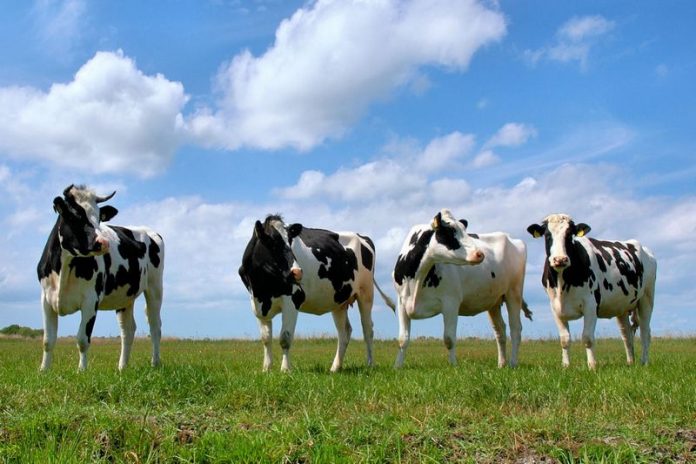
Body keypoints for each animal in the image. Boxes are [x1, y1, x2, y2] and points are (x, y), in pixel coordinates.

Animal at [37, 185, 164, 371]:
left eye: (99, 218)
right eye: (74, 215)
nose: (103, 242)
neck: (64, 269)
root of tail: (147, 230)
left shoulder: (91, 300)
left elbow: (82, 339)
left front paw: (81, 371)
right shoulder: (46, 299)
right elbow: (48, 340)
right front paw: (43, 371)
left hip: (155, 288)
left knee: (155, 326)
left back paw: (155, 364)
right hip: (125, 296)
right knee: (128, 330)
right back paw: (122, 368)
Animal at [238, 214, 395, 372]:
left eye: (290, 241)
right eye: (272, 242)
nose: (297, 272)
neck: (263, 287)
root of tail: (362, 237)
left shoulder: (293, 299)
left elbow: (285, 338)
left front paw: (285, 369)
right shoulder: (257, 302)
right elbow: (265, 338)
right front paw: (266, 369)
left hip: (366, 293)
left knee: (367, 328)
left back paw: (370, 364)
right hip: (339, 300)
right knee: (344, 332)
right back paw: (335, 368)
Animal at [393, 209, 532, 368]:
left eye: (465, 231)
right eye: (450, 232)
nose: (480, 254)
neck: (415, 279)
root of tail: (512, 238)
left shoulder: (451, 302)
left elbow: (449, 338)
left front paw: (453, 365)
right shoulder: (401, 302)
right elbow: (402, 339)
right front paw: (397, 366)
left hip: (514, 293)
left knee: (516, 329)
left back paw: (513, 363)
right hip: (494, 301)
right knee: (500, 331)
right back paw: (501, 364)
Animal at [527, 213, 656, 369]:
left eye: (570, 234)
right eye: (547, 235)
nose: (560, 259)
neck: (562, 284)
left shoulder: (590, 304)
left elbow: (587, 337)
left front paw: (592, 366)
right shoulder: (555, 307)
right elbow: (564, 339)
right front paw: (566, 366)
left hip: (647, 298)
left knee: (645, 333)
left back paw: (644, 362)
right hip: (622, 306)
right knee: (627, 335)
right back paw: (630, 362)